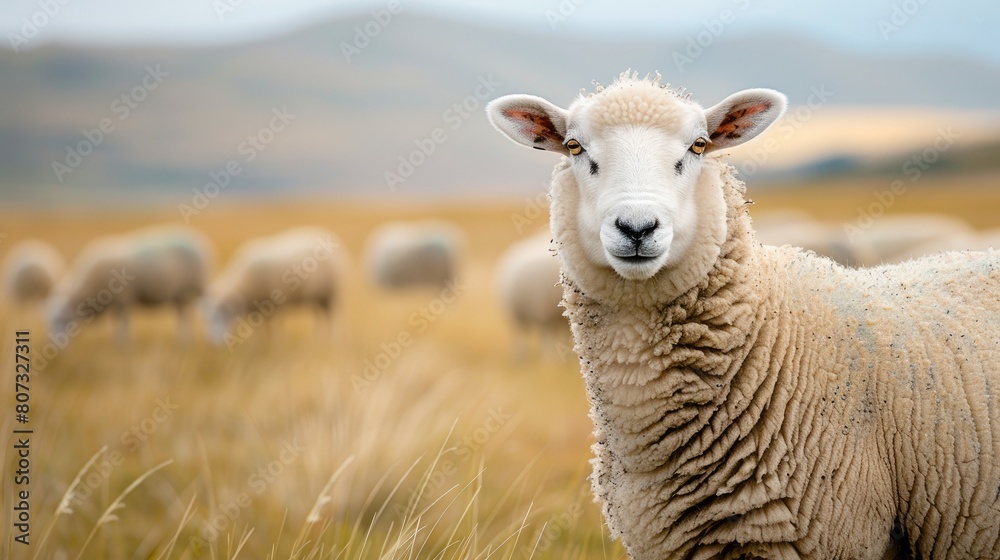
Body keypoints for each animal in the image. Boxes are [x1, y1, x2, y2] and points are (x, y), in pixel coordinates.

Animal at [48, 225, 212, 342]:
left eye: (62, 320)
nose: (56, 346)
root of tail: (201, 241)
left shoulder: (123, 299)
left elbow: (124, 322)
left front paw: (125, 343)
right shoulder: (115, 302)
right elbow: (116, 323)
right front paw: (117, 341)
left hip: (200, 285)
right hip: (179, 293)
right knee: (184, 315)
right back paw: (184, 339)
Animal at [203, 227, 346, 348]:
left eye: (225, 315)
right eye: (209, 319)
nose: (216, 343)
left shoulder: (274, 303)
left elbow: (275, 327)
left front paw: (277, 344)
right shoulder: (256, 309)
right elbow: (259, 330)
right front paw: (258, 345)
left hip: (331, 295)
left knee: (334, 319)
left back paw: (332, 341)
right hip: (319, 298)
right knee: (321, 318)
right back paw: (319, 339)